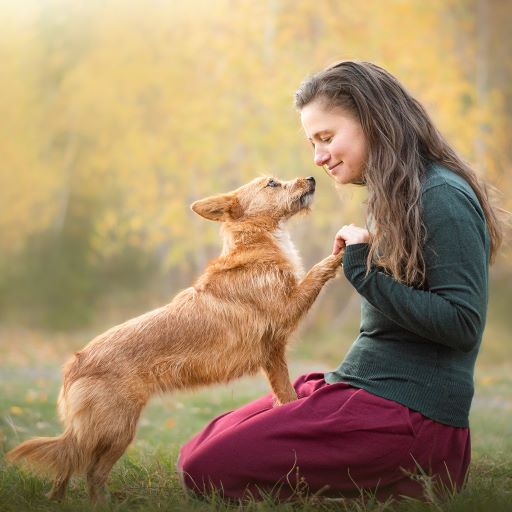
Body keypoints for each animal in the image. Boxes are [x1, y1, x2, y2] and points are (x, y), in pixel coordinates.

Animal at [6, 175, 344, 500]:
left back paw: (59, 499)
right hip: (115, 429)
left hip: (101, 432)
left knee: (69, 465)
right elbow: (315, 275)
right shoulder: (287, 314)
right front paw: (338, 253)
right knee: (89, 471)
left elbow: (283, 393)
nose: (312, 177)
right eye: (272, 182)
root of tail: (72, 366)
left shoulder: (273, 354)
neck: (255, 246)